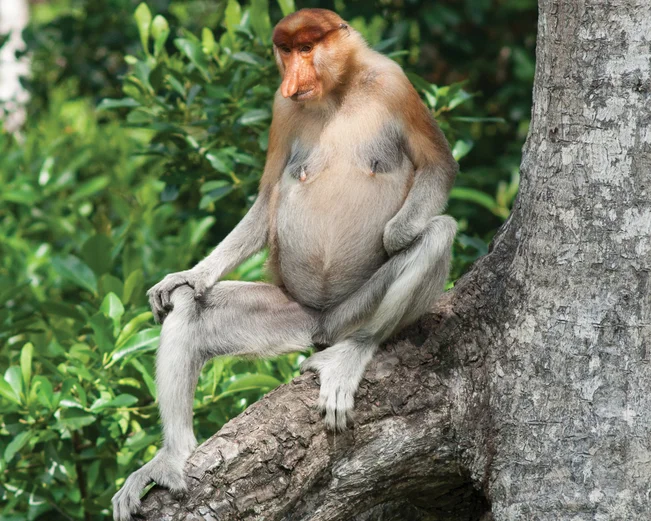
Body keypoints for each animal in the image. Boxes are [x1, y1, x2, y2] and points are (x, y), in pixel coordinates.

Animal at [112, 8, 457, 520]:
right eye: (287, 51)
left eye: (308, 49)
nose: (294, 77)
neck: (336, 92)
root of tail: (322, 324)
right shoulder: (281, 107)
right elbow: (269, 193)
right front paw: (188, 274)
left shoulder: (395, 83)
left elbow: (438, 165)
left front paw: (396, 234)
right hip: (291, 313)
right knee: (190, 307)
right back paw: (172, 457)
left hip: (356, 310)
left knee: (437, 234)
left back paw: (351, 353)